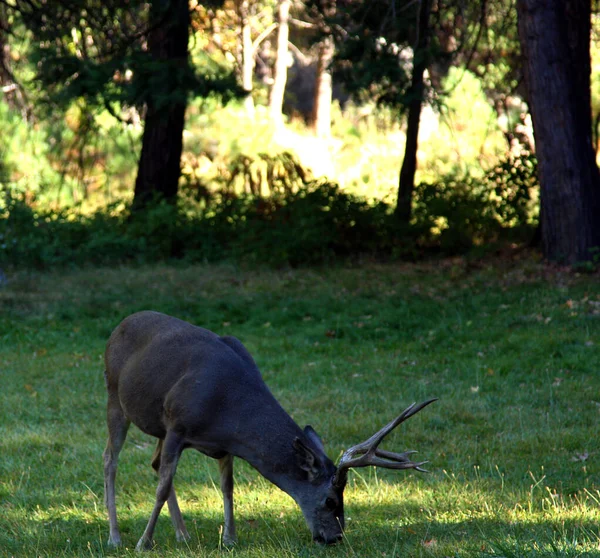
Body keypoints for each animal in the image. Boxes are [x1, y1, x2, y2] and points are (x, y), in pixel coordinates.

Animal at [103, 312, 436, 552]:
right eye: (330, 500)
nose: (336, 537)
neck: (225, 406)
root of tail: (119, 325)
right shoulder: (177, 426)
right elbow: (161, 488)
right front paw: (143, 543)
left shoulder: (223, 445)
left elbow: (227, 487)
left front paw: (230, 539)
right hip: (115, 396)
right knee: (110, 460)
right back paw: (115, 537)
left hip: (156, 425)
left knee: (154, 462)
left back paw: (182, 534)